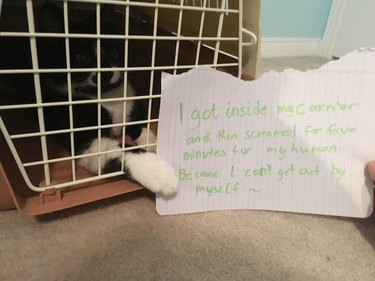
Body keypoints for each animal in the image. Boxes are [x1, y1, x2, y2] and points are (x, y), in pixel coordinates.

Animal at [0, 2, 179, 195]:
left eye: (112, 53)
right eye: (82, 57)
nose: (106, 73)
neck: (105, 95)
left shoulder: (131, 101)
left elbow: (140, 123)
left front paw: (151, 140)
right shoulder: (85, 140)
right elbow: (122, 149)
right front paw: (159, 172)